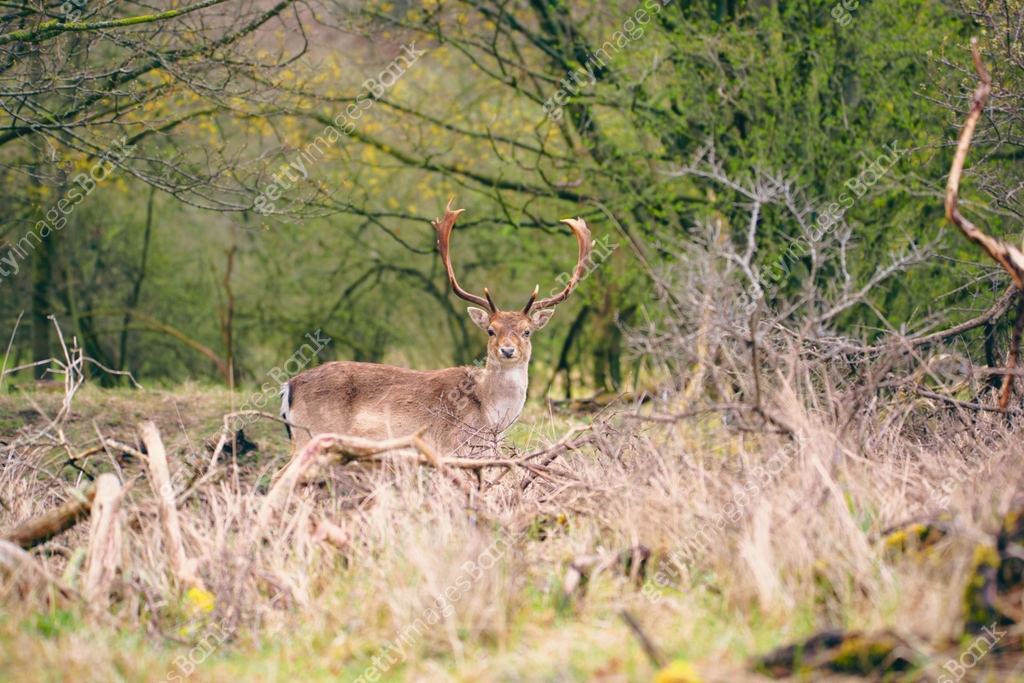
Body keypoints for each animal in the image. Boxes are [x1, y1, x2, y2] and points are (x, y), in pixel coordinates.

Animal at [280, 199, 593, 456]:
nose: (507, 350)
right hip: (313, 433)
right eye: (490, 330)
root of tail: (288, 387)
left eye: (527, 331)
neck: (490, 417)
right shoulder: (449, 444)